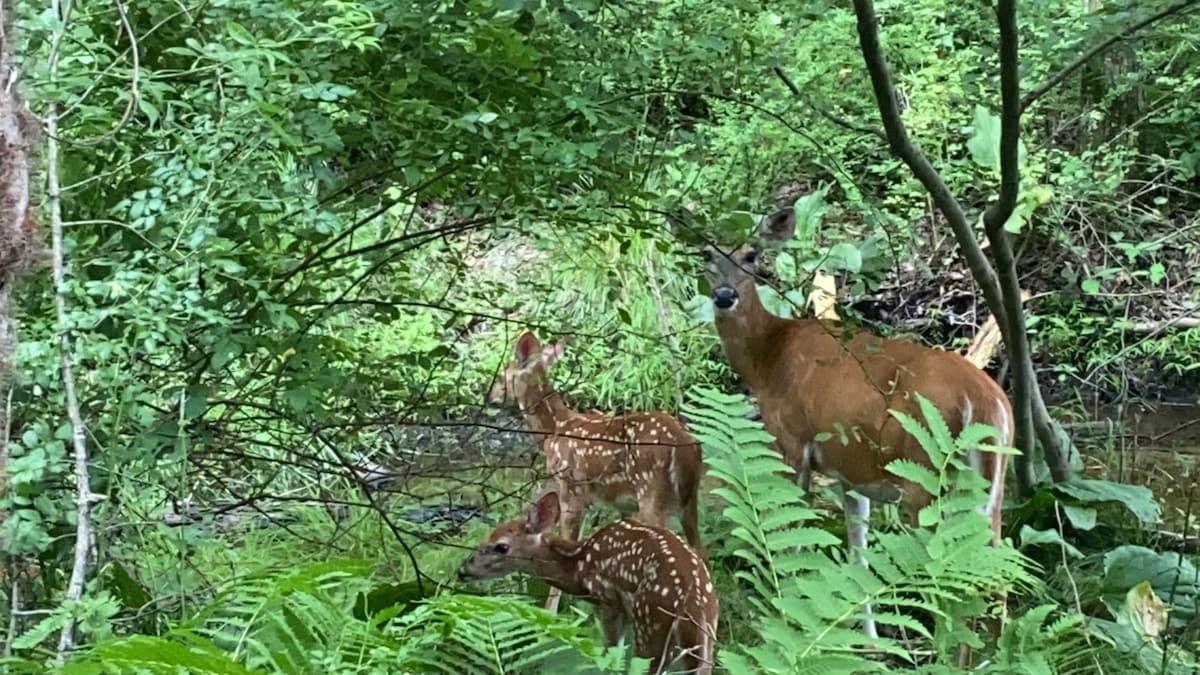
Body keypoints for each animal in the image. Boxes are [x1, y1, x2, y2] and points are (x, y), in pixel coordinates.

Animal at [458, 487, 715, 672]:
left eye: (501, 546)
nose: (463, 569)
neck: (579, 565)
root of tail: (694, 607)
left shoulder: (608, 601)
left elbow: (611, 654)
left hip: (650, 625)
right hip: (706, 638)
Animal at [492, 331, 705, 610]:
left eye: (501, 375)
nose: (490, 396)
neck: (553, 430)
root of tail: (685, 447)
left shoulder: (570, 488)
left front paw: (552, 611)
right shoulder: (618, 504)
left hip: (651, 491)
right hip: (689, 501)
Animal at [700, 200, 1012, 634]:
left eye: (751, 254)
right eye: (706, 255)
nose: (724, 296)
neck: (766, 360)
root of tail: (985, 400)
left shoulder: (791, 443)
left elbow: (792, 538)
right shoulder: (850, 473)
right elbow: (857, 558)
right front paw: (867, 639)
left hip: (927, 478)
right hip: (991, 488)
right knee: (996, 579)